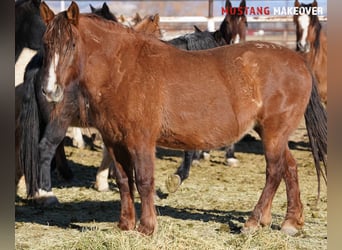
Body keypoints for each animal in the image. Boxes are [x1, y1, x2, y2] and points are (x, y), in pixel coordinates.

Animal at [38, 0, 328, 236]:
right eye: (46, 43)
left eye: (71, 44)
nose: (50, 90)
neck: (124, 71)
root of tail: (299, 61)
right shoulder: (113, 140)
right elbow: (123, 180)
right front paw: (125, 224)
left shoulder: (141, 140)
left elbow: (144, 180)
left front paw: (147, 227)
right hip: (272, 133)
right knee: (290, 168)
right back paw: (289, 222)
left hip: (273, 133)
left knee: (274, 171)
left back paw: (253, 222)